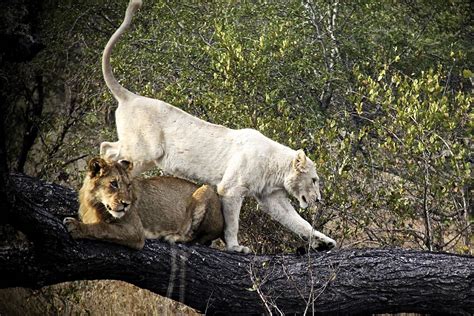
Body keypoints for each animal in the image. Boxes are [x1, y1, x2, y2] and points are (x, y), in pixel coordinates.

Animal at [63, 158, 224, 249]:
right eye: (114, 184)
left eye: (128, 185)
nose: (126, 204)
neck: (95, 204)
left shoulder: (135, 231)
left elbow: (102, 228)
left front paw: (75, 226)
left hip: (207, 190)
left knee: (199, 238)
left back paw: (173, 237)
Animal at [101, 0, 336, 253]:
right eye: (314, 180)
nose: (318, 199)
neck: (277, 169)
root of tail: (130, 96)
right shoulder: (231, 188)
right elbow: (232, 222)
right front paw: (235, 247)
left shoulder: (272, 198)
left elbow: (298, 222)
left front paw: (325, 241)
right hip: (145, 152)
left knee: (107, 147)